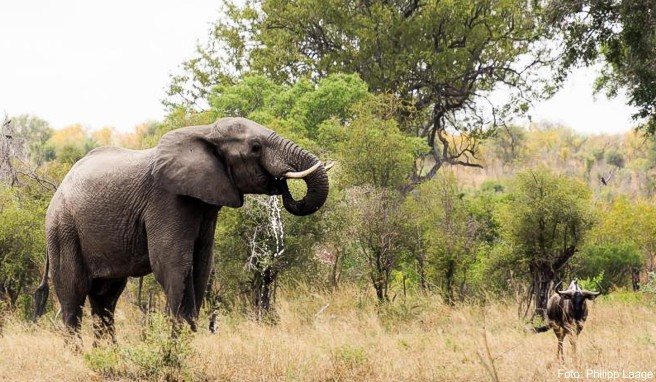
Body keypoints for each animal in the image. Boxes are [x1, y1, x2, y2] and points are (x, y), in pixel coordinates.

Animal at [32, 118, 328, 342]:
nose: (281, 184)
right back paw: (79, 356)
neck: (206, 132)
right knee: (74, 297)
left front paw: (188, 341)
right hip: (63, 230)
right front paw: (173, 347)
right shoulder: (167, 201)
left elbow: (201, 266)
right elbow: (173, 265)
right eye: (255, 147)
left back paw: (108, 355)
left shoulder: (206, 205)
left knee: (106, 298)